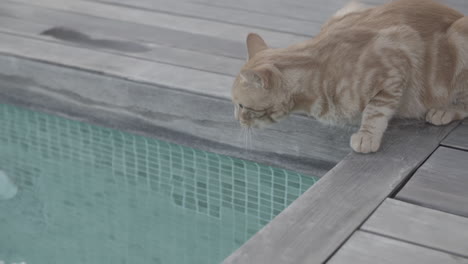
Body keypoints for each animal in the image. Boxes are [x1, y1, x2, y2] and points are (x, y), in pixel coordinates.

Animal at [231, 0, 468, 153]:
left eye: (242, 105)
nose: (236, 119)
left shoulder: (398, 55)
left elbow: (375, 111)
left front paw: (367, 136)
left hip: (460, 39)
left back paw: (444, 110)